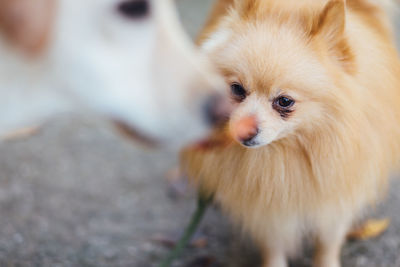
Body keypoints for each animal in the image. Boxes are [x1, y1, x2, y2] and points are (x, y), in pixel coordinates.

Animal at [183, 0, 400, 267]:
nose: (244, 132)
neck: (285, 152)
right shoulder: (269, 211)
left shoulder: (335, 200)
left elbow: (328, 242)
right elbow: (273, 245)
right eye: (236, 89)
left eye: (284, 101)